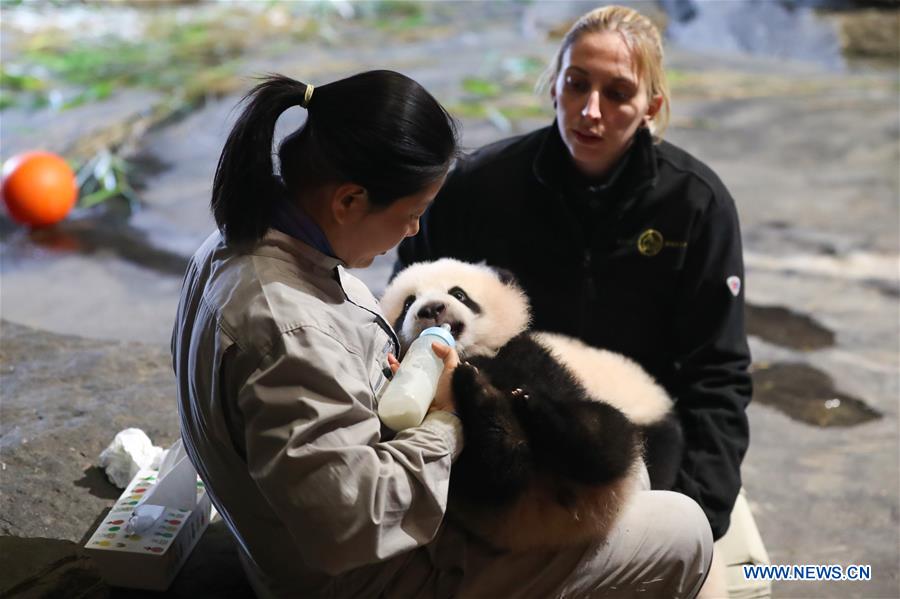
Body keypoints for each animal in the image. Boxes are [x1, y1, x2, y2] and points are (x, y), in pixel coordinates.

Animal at [380, 258, 682, 551]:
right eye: (407, 303)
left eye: (458, 294)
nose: (431, 308)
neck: (467, 353)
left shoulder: (532, 358)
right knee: (496, 471)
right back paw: (489, 406)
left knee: (604, 438)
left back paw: (533, 409)